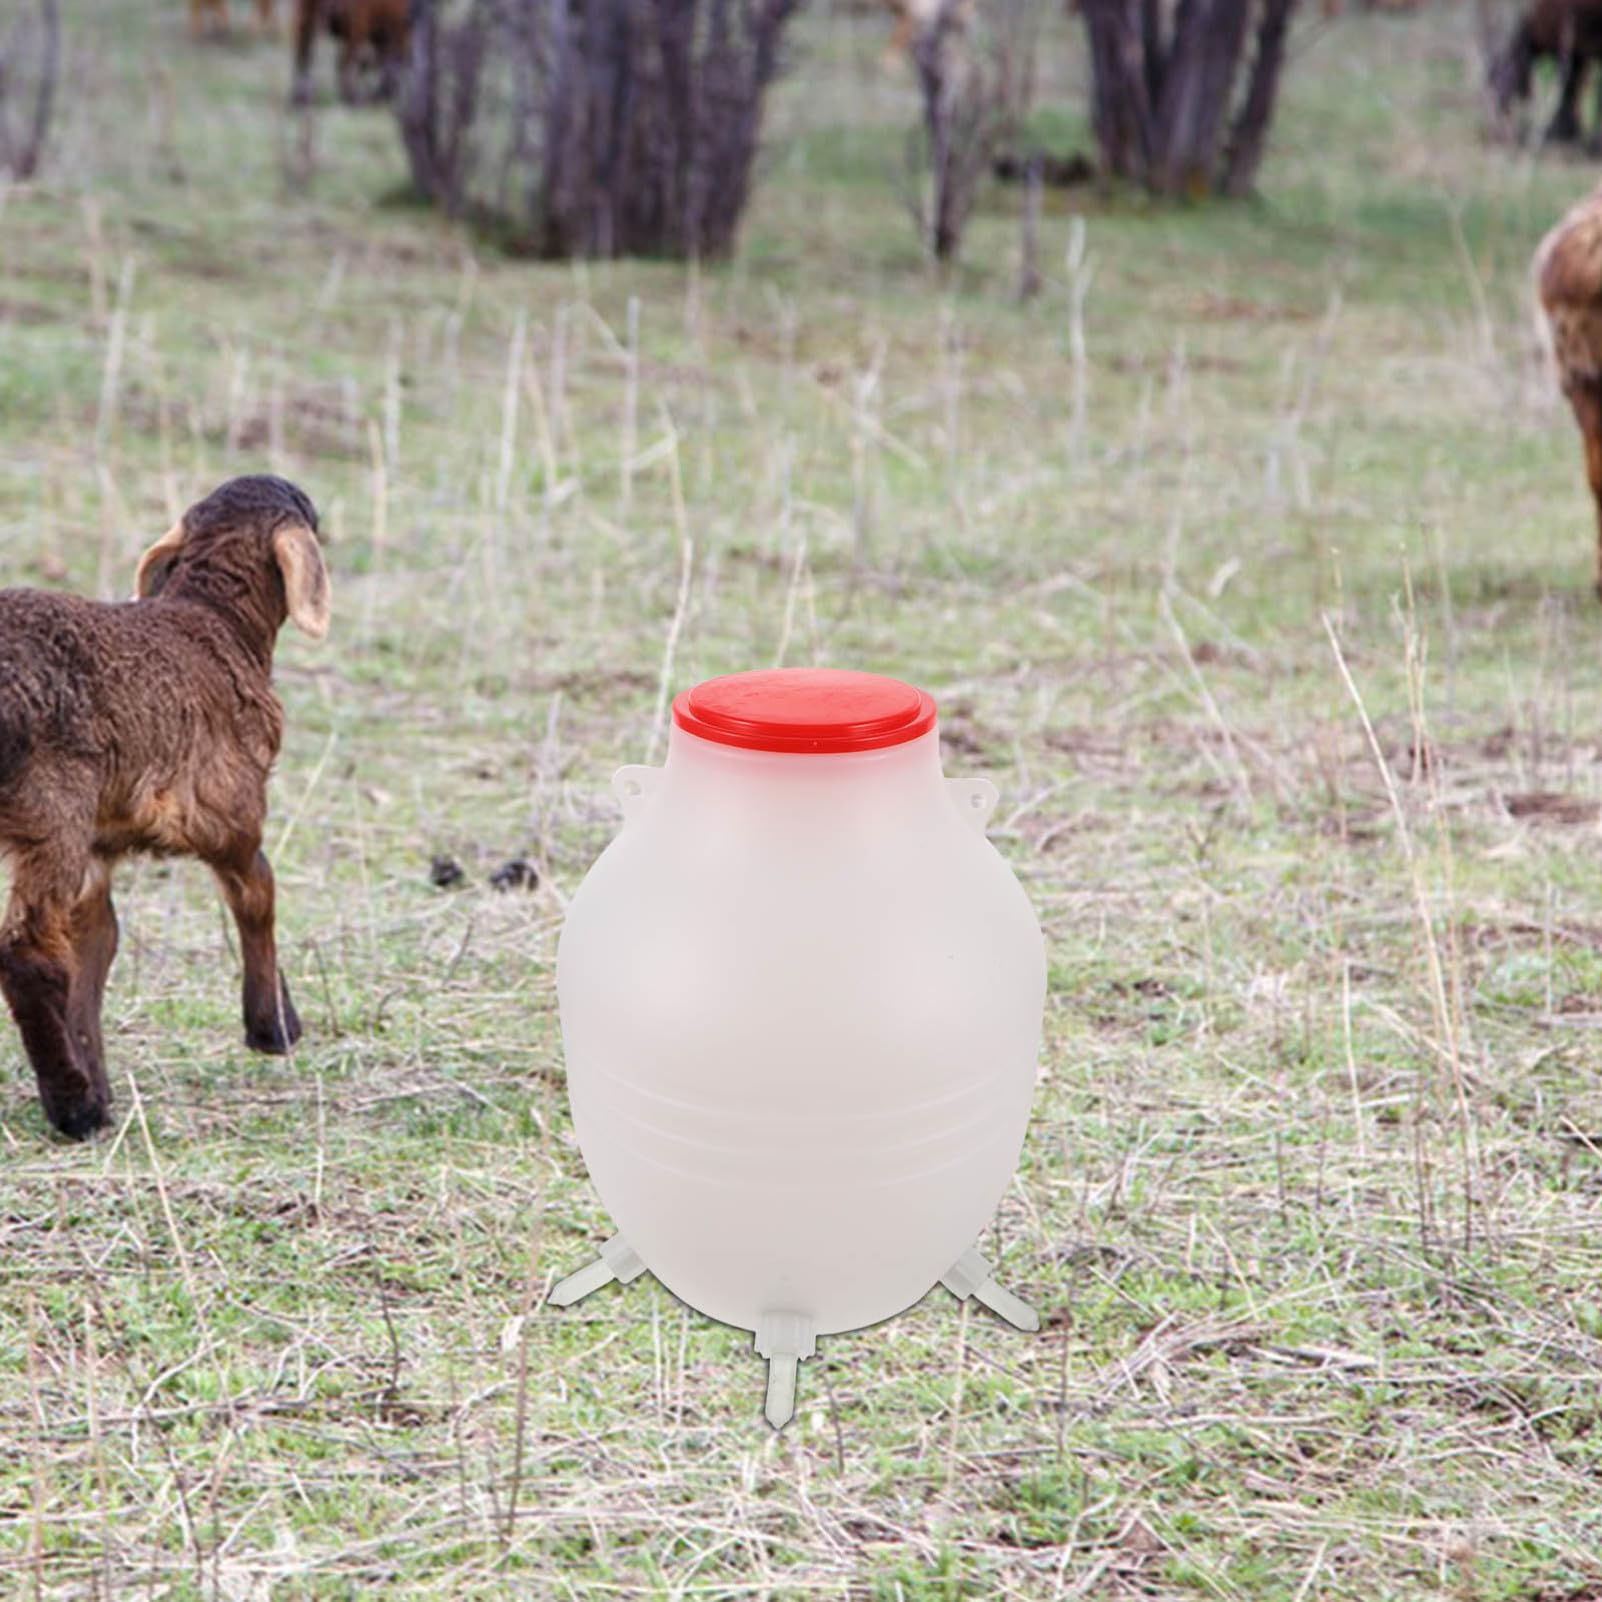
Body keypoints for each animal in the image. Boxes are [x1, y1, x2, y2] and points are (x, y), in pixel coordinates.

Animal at [0, 475, 330, 1139]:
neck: (214, 620)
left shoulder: (100, 843)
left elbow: (96, 945)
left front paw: (98, 1074)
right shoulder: (228, 808)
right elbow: (258, 891)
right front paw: (273, 1026)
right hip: (52, 805)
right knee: (27, 957)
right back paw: (73, 1107)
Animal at [1490, 0, 1602, 145]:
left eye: (1499, 77)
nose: (1497, 133)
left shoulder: (1573, 42)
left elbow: (1569, 88)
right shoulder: (1578, 50)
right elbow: (1571, 88)